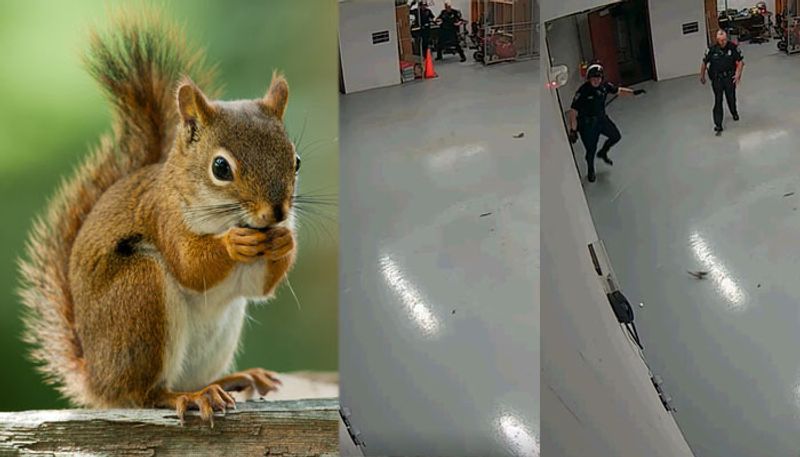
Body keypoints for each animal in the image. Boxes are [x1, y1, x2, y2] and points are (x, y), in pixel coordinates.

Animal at [18, 11, 300, 424]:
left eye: (296, 161)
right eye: (220, 167)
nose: (277, 212)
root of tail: (98, 381)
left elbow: (258, 286)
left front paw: (285, 240)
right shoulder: (163, 218)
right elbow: (190, 265)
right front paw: (233, 243)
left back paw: (232, 380)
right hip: (140, 294)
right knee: (146, 394)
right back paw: (191, 396)